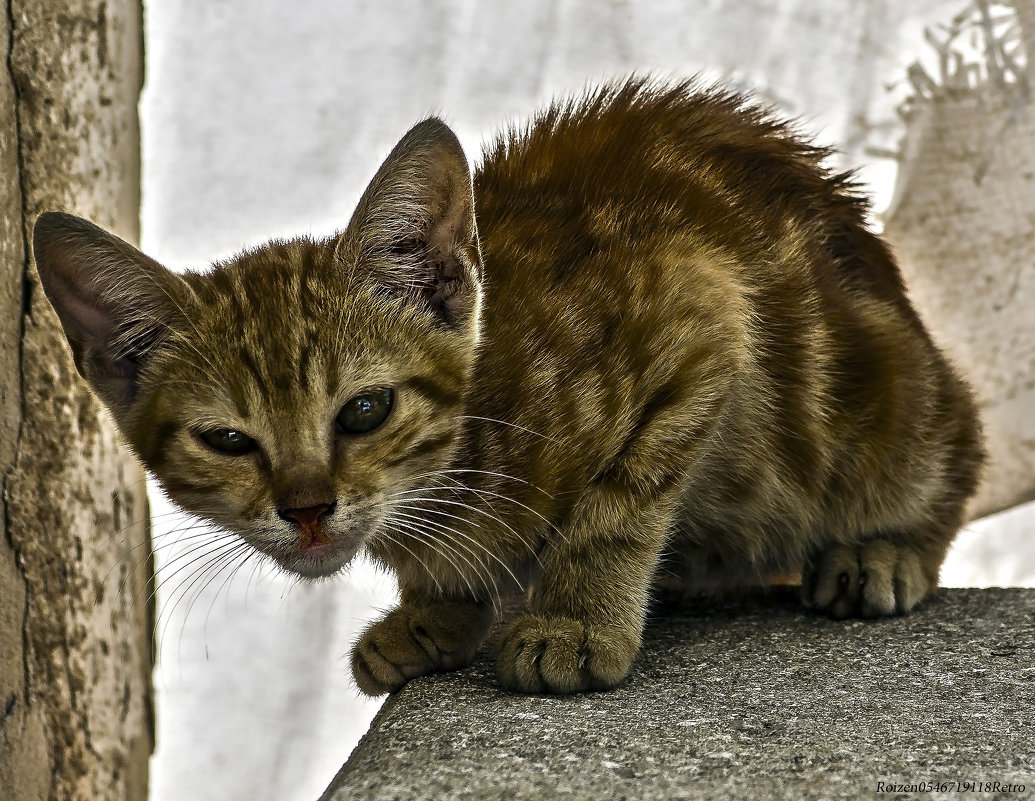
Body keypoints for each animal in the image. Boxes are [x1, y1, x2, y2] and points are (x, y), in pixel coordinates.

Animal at [32, 78, 981, 699]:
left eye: (365, 410)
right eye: (228, 440)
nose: (306, 510)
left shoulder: (702, 309)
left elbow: (618, 501)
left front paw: (574, 619)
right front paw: (437, 611)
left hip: (888, 413)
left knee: (957, 449)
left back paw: (879, 552)